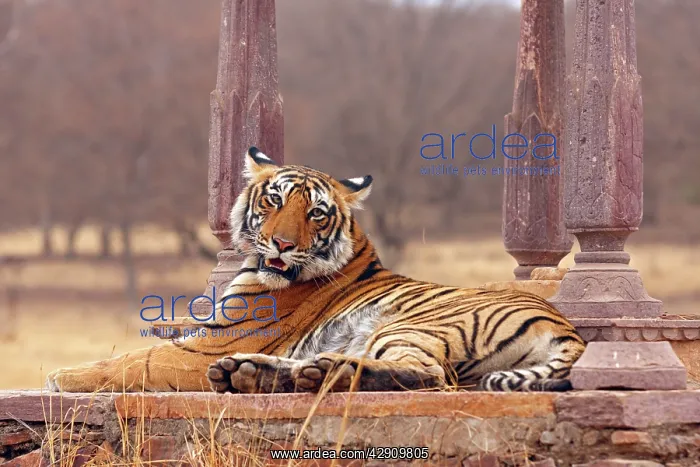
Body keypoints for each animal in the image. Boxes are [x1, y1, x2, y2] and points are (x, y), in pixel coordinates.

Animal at [46, 147, 585, 394]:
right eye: (275, 199)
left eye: (317, 213)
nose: (282, 244)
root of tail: (565, 326)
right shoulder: (210, 339)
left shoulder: (208, 346)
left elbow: (134, 360)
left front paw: (61, 375)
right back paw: (261, 374)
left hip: (409, 326)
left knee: (428, 374)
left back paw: (319, 372)